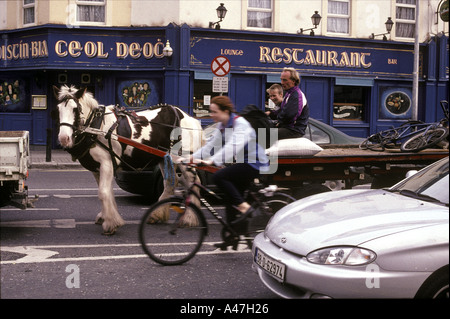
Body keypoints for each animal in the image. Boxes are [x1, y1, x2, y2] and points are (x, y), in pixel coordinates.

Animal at [53, 85, 202, 235]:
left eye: (75, 109)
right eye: (58, 109)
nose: (64, 138)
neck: (96, 127)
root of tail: (190, 118)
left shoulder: (106, 163)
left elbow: (103, 192)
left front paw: (111, 224)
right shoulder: (97, 168)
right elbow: (106, 192)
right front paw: (107, 217)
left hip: (185, 158)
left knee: (193, 182)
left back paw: (189, 218)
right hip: (164, 158)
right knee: (171, 182)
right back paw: (157, 214)